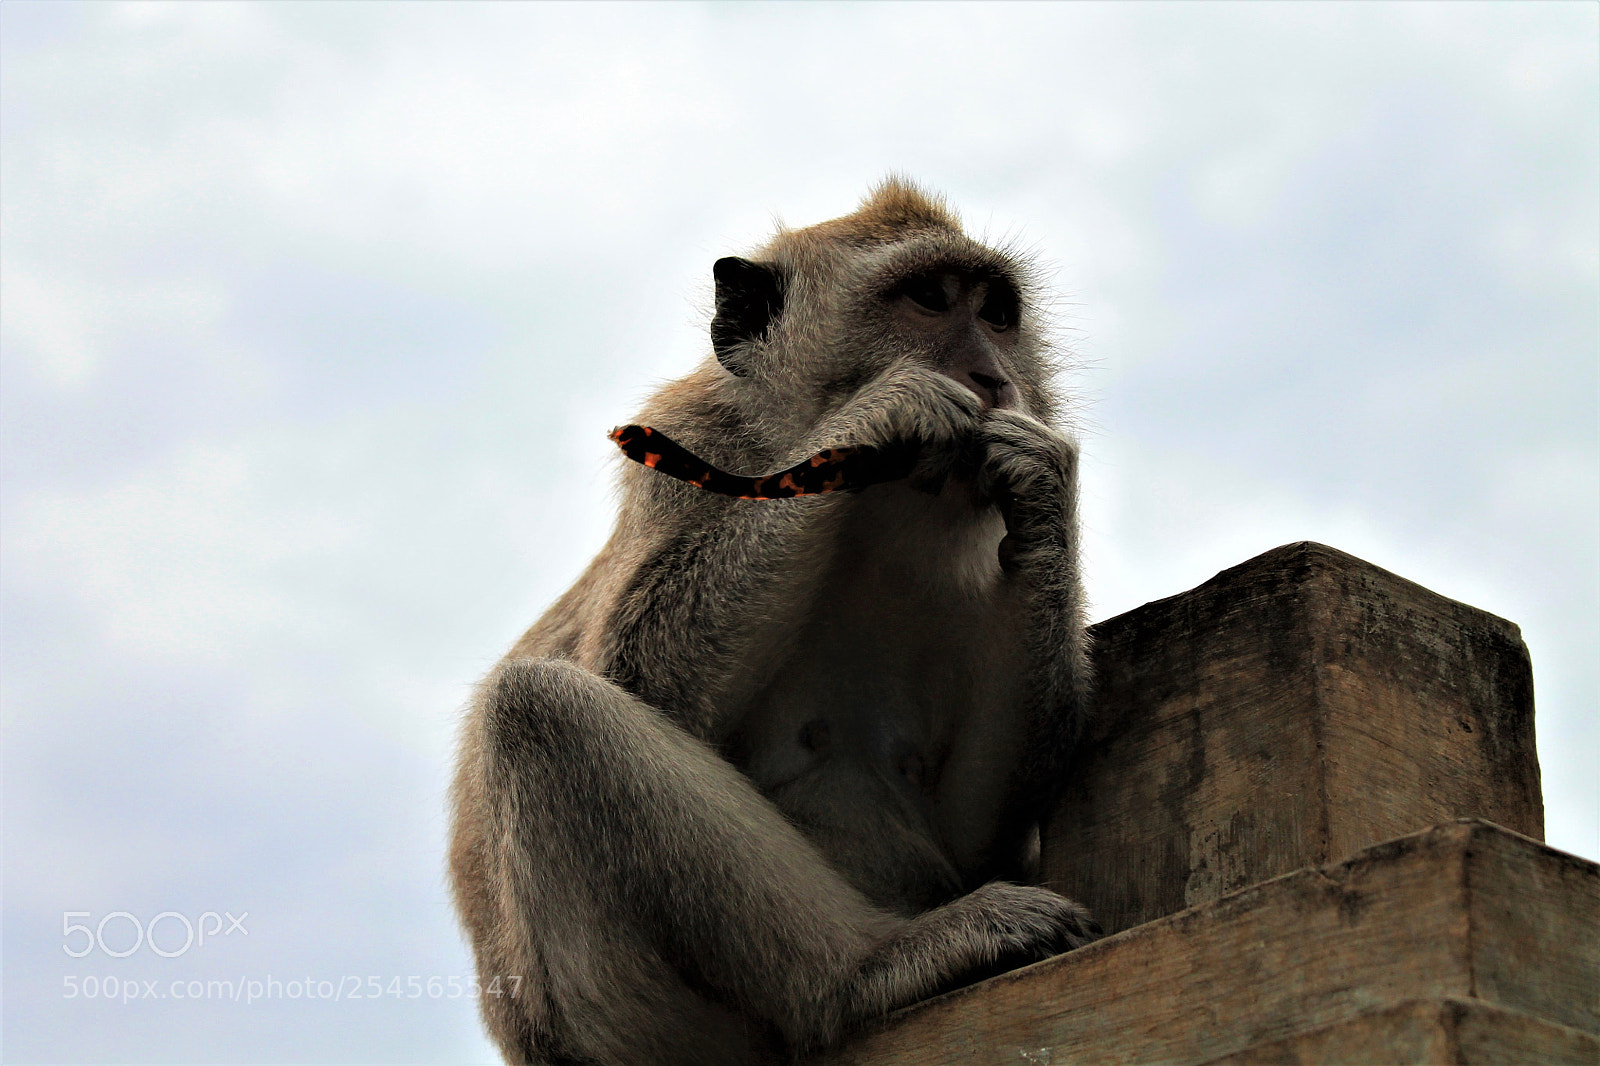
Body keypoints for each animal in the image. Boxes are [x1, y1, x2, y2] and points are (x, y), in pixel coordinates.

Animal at [449, 178, 1096, 1066]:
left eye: (998, 312)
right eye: (928, 300)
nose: (993, 377)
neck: (880, 511)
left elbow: (977, 828)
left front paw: (1043, 482)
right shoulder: (688, 446)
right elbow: (634, 679)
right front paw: (882, 414)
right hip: (625, 1025)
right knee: (538, 709)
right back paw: (866, 970)